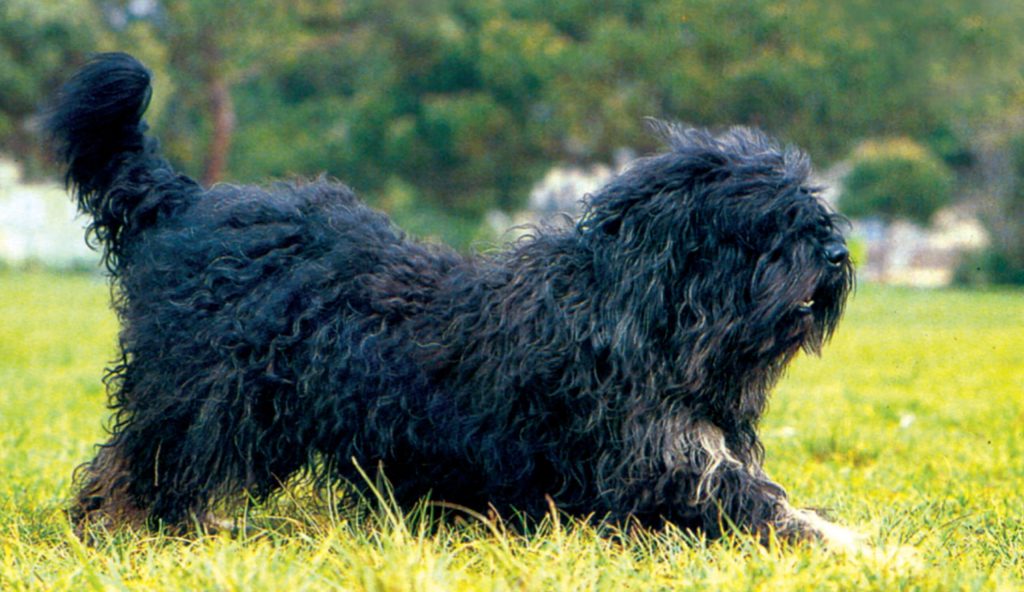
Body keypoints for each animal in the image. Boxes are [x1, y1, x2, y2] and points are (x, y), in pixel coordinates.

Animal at [49, 53, 864, 544]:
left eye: (813, 215)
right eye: (767, 225)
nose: (836, 255)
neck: (644, 312)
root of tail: (184, 200)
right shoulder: (659, 464)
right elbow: (768, 508)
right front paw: (861, 546)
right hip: (204, 395)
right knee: (137, 464)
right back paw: (131, 529)